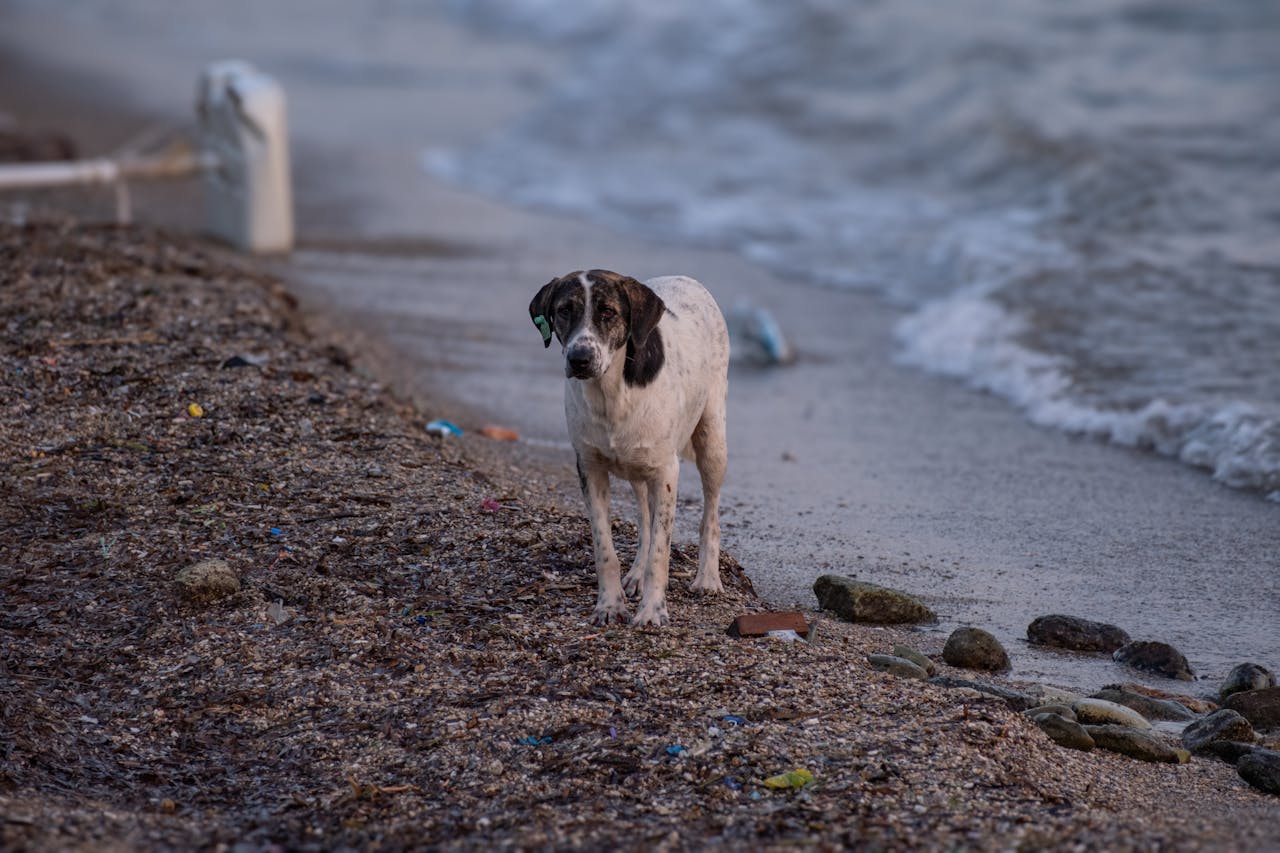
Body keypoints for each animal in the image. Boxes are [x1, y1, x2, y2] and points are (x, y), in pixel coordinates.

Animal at [529, 267, 732, 625]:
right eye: (564, 310)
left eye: (608, 312)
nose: (580, 359)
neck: (610, 393)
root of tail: (685, 277)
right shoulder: (590, 468)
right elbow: (605, 548)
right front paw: (610, 605)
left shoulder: (666, 473)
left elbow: (660, 554)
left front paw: (652, 611)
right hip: (639, 470)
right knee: (645, 522)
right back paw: (636, 574)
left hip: (712, 439)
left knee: (710, 514)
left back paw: (707, 578)